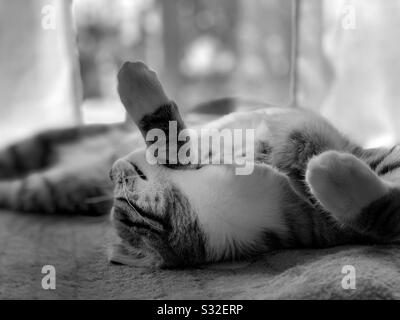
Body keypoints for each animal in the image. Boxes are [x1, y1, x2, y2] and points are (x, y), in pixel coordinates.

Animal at [0, 61, 400, 268]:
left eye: (124, 189)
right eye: (124, 200)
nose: (113, 169)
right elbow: (168, 137)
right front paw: (328, 171)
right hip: (49, 186)